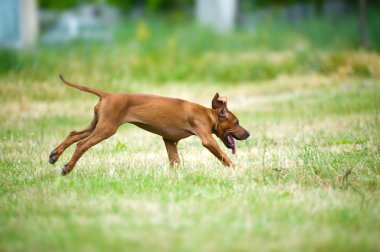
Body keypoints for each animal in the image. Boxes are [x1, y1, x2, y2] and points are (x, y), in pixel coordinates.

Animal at [49, 75, 251, 175]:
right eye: (237, 122)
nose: (248, 134)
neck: (208, 114)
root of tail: (107, 95)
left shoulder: (169, 140)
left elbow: (175, 162)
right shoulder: (207, 140)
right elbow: (224, 157)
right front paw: (239, 170)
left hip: (96, 124)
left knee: (73, 134)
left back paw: (54, 155)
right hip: (106, 128)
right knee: (81, 144)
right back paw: (67, 168)